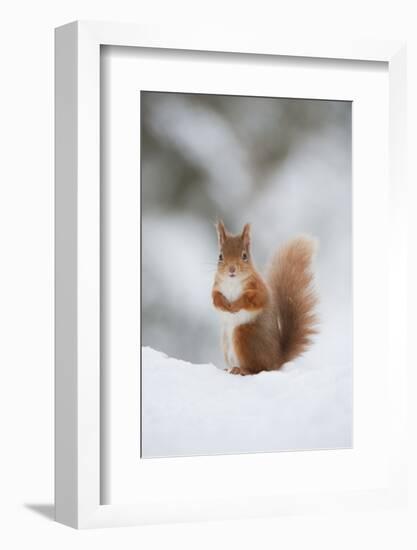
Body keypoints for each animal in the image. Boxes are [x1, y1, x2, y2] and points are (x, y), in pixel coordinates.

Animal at [211, 222, 318, 378]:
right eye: (220, 256)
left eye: (244, 256)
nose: (231, 269)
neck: (232, 282)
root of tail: (275, 360)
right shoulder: (216, 287)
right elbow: (215, 299)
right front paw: (224, 305)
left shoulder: (259, 289)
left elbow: (254, 300)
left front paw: (235, 305)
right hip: (226, 341)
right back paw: (230, 369)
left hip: (244, 335)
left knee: (258, 369)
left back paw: (242, 370)